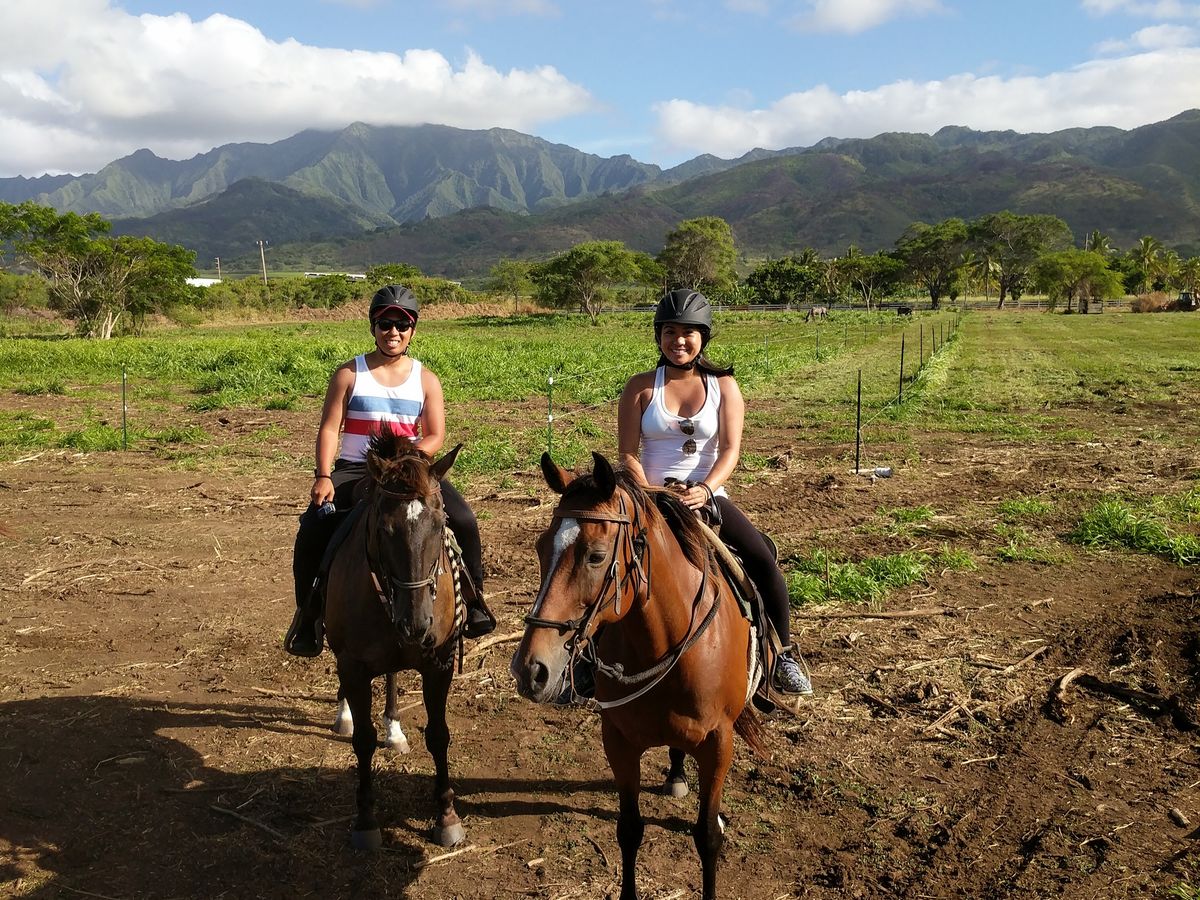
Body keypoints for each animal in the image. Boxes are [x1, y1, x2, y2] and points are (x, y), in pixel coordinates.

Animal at [323, 432, 467, 850]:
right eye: (384, 530)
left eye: (440, 523)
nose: (416, 622)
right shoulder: (353, 665)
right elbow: (363, 741)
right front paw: (366, 821)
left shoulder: (439, 662)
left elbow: (438, 735)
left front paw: (447, 817)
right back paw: (345, 715)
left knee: (391, 676)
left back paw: (394, 728)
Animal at [511, 452, 768, 900]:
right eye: (541, 547)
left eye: (596, 556)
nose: (530, 670)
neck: (667, 643)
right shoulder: (618, 740)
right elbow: (629, 829)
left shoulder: (719, 743)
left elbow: (707, 836)